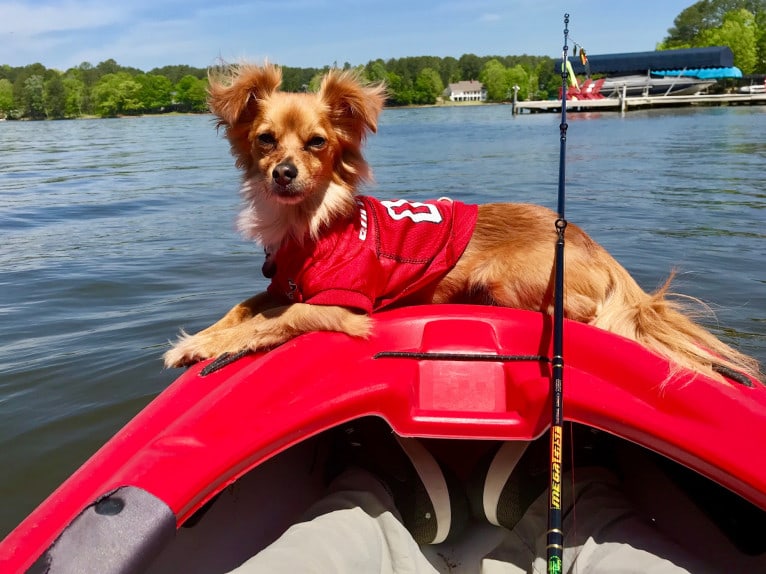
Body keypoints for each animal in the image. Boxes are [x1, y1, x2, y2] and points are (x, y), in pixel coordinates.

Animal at [164, 63, 760, 388]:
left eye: (317, 144)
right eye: (265, 140)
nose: (283, 173)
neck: (306, 223)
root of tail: (588, 241)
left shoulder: (338, 305)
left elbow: (274, 321)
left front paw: (201, 346)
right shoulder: (280, 283)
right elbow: (242, 307)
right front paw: (202, 336)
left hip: (506, 282)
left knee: (583, 315)